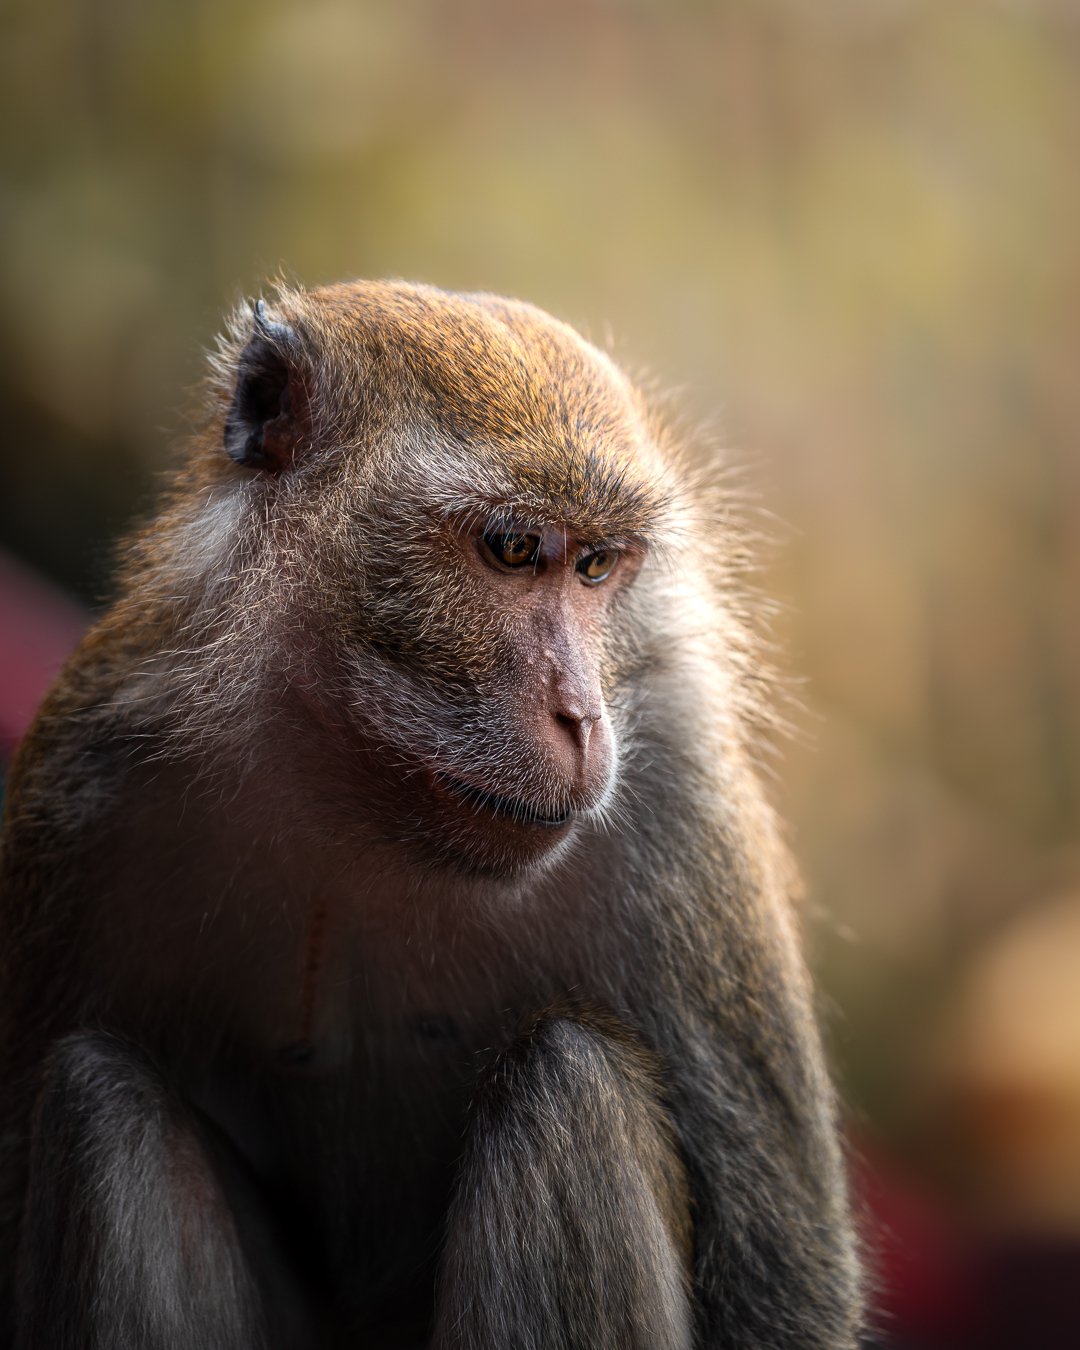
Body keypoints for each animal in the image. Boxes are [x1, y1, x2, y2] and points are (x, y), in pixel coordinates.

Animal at [0, 279, 858, 1344]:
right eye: (514, 548)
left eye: (596, 567)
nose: (582, 718)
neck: (362, 802)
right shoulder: (82, 773)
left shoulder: (679, 799)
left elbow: (777, 1289)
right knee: (101, 1100)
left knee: (568, 1082)